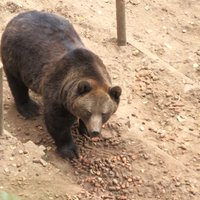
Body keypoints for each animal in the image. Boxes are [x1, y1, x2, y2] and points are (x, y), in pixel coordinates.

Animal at [0, 11, 121, 159]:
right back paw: (29, 108)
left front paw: (84, 130)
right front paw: (71, 150)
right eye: (88, 111)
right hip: (16, 56)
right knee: (17, 83)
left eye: (104, 113)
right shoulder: (58, 88)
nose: (95, 131)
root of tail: (17, 17)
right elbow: (57, 121)